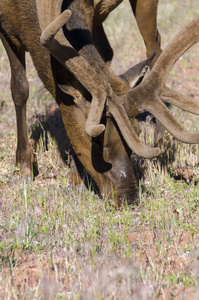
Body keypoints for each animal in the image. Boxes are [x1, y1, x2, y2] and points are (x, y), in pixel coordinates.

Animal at [0, 0, 199, 206]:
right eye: (95, 138)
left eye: (138, 131)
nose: (128, 197)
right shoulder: (5, 28)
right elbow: (19, 88)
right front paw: (22, 169)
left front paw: (76, 179)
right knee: (109, 51)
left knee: (154, 46)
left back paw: (161, 136)